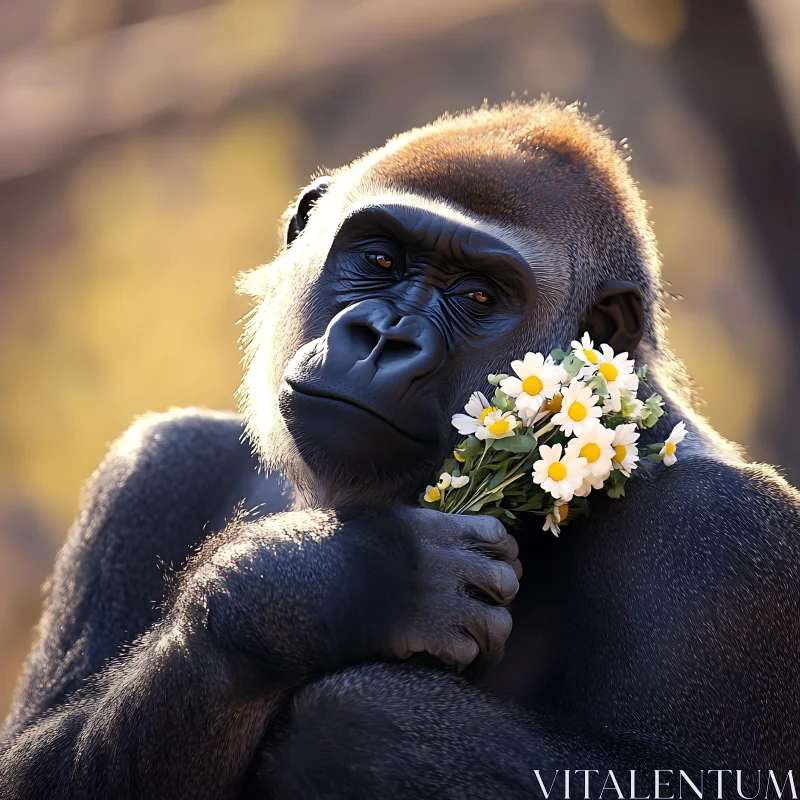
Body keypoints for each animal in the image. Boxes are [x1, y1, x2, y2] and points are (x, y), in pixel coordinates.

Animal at [4, 101, 800, 800]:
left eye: (480, 298)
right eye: (381, 259)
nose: (385, 338)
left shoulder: (724, 537)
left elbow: (353, 721)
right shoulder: (158, 464)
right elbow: (29, 767)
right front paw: (333, 580)